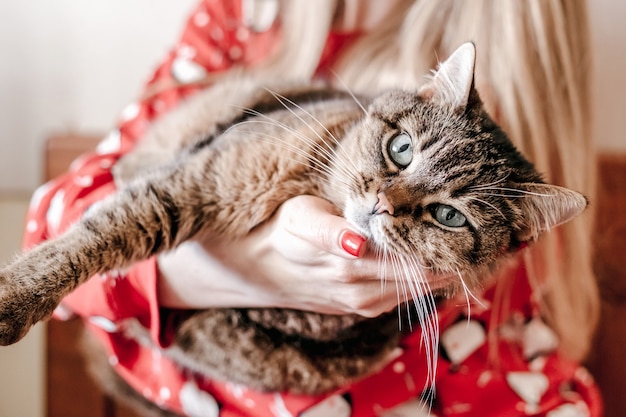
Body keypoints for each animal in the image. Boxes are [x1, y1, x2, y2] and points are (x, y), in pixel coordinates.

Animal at [0, 40, 584, 412]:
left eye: (449, 216)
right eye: (401, 149)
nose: (381, 203)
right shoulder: (192, 183)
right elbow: (93, 237)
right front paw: (16, 298)